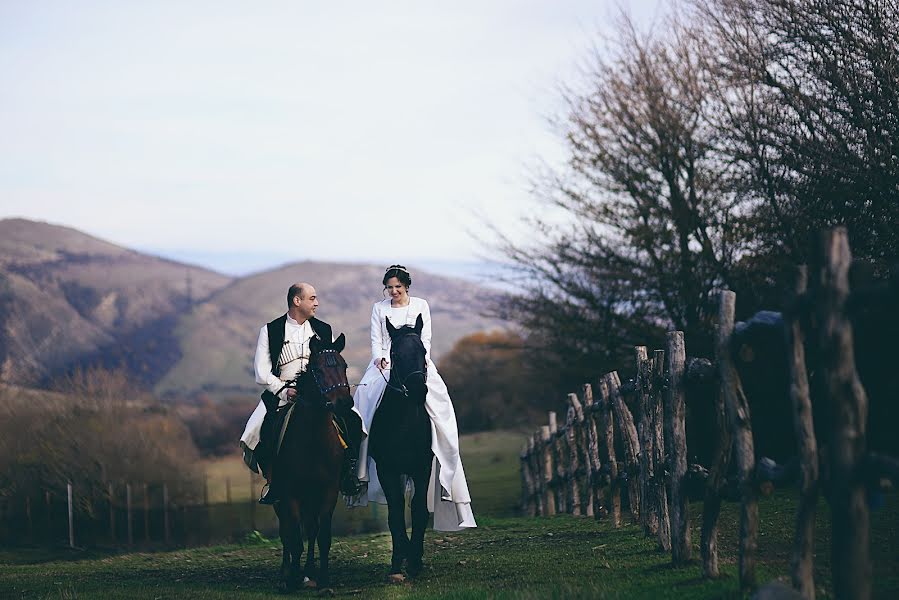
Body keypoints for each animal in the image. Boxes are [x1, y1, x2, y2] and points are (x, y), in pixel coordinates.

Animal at [274, 332, 356, 592]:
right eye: (318, 370)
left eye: (344, 366)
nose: (343, 403)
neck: (313, 439)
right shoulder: (289, 493)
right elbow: (293, 538)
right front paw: (290, 578)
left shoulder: (328, 490)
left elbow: (322, 536)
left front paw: (323, 581)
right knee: (286, 531)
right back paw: (286, 574)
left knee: (310, 530)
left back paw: (309, 572)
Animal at [368, 316, 434, 580]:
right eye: (395, 353)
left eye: (423, 350)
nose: (418, 390)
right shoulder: (387, 470)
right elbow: (395, 512)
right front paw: (399, 559)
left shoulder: (422, 468)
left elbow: (418, 510)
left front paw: (415, 559)